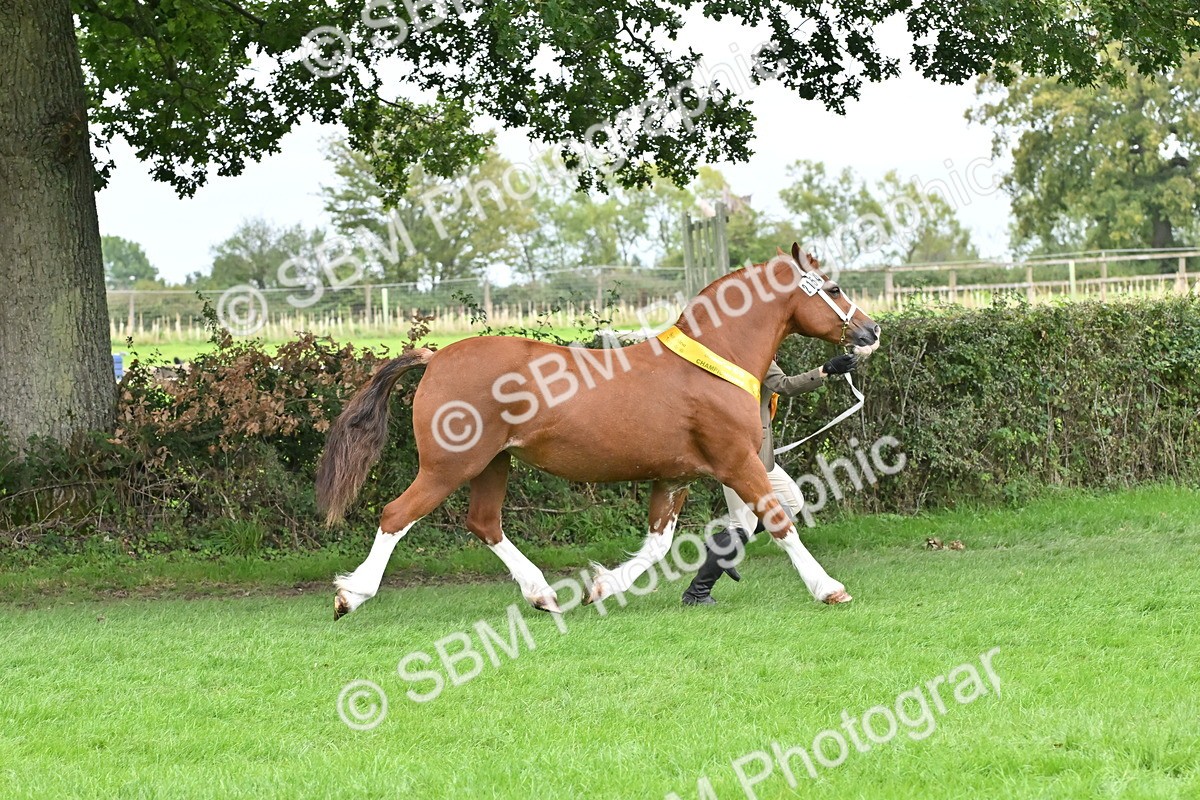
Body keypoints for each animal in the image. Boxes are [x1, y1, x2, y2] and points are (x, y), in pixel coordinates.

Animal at [316, 244, 881, 620]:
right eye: (833, 289)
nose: (870, 331)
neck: (710, 363)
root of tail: (435, 358)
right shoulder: (736, 462)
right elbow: (780, 521)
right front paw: (829, 588)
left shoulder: (675, 477)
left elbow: (658, 544)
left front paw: (603, 586)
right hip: (447, 466)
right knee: (396, 515)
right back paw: (352, 594)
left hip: (493, 463)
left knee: (484, 523)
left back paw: (542, 594)